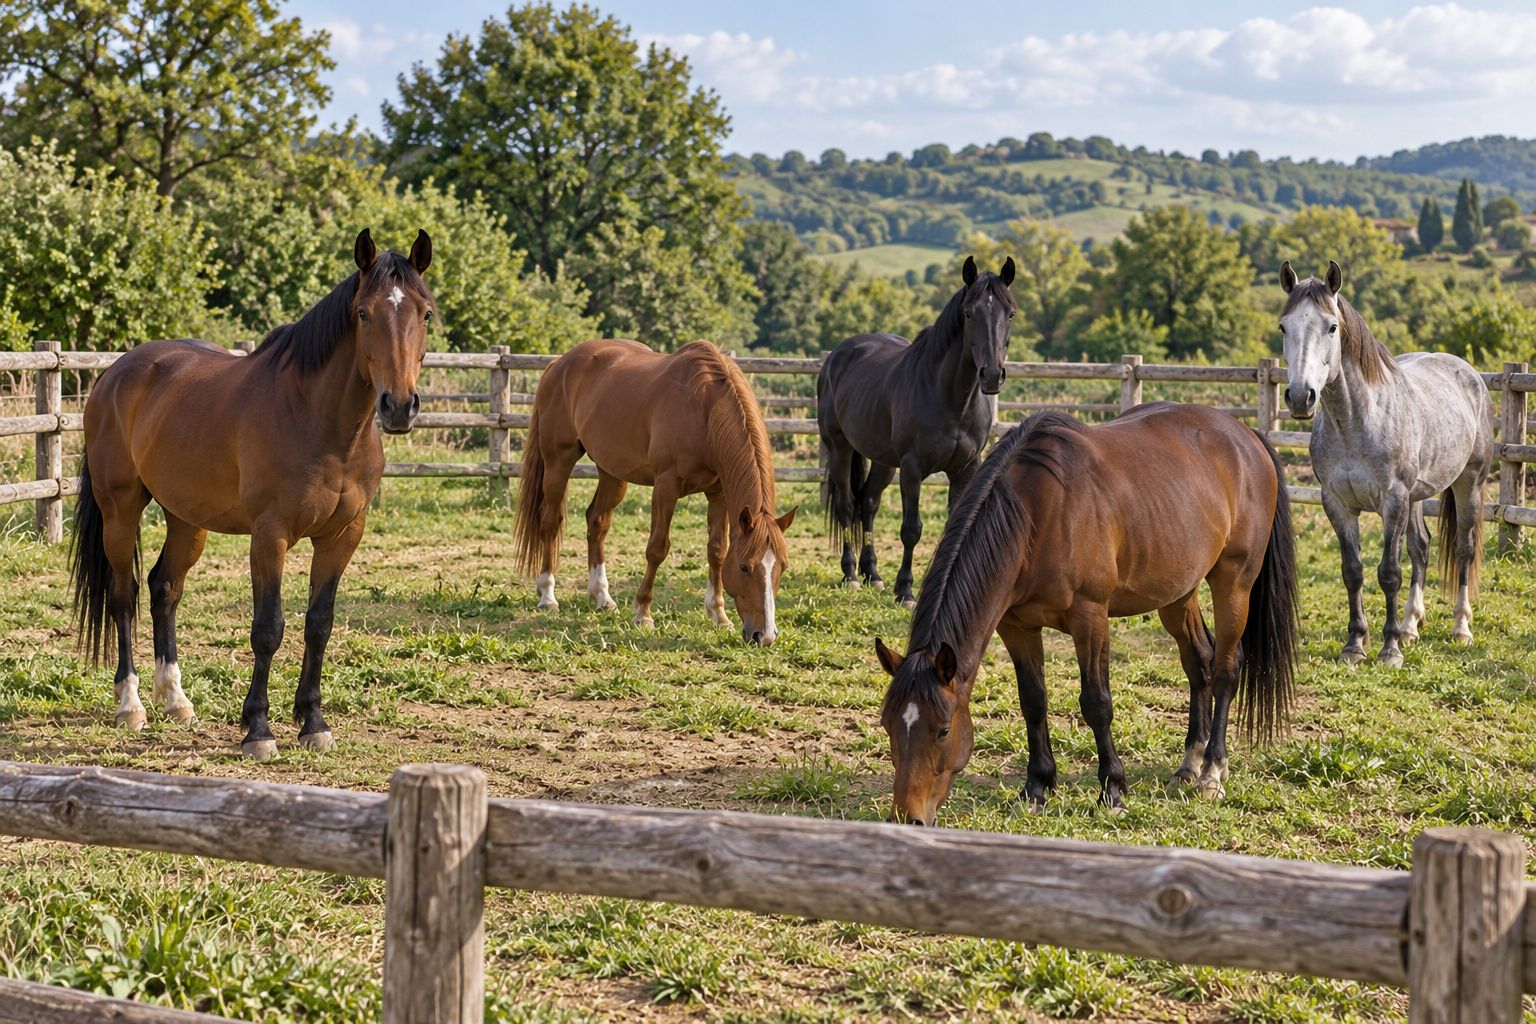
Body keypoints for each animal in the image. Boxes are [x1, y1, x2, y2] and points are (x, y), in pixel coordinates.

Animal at [70, 229, 434, 760]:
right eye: (364, 313)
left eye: (425, 313)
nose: (400, 406)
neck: (319, 421)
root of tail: (115, 374)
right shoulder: (269, 536)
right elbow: (268, 629)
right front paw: (258, 730)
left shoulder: (343, 536)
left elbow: (319, 624)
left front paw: (313, 722)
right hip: (120, 509)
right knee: (123, 595)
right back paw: (130, 705)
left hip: (187, 518)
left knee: (165, 588)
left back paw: (175, 698)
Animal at [513, 339, 796, 644]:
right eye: (744, 567)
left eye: (782, 566)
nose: (764, 635)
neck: (705, 411)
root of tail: (559, 363)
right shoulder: (665, 487)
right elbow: (657, 548)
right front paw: (643, 613)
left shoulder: (719, 493)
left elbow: (717, 550)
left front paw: (719, 614)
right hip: (558, 462)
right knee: (550, 522)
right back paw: (547, 594)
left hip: (612, 473)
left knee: (596, 522)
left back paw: (602, 596)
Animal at [817, 256, 1015, 608]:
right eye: (969, 313)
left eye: (1010, 313)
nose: (992, 375)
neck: (951, 398)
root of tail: (836, 356)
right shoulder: (911, 468)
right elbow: (911, 528)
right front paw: (906, 591)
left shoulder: (966, 469)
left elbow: (954, 525)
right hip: (840, 448)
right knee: (846, 506)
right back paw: (851, 574)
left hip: (883, 460)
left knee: (868, 503)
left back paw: (873, 574)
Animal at [874, 403, 1298, 824]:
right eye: (887, 724)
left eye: (944, 730)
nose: (907, 817)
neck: (1035, 513)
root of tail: (1245, 435)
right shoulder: (1016, 626)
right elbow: (1033, 702)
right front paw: (1037, 787)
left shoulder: (1090, 619)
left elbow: (1096, 703)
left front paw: (1113, 789)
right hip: (1178, 593)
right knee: (1200, 663)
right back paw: (1189, 764)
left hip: (1234, 583)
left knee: (1226, 667)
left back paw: (1211, 771)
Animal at [1279, 261, 1494, 667]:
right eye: (1284, 327)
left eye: (1332, 327)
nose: (1300, 397)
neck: (1357, 422)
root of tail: (1468, 373)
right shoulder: (1337, 503)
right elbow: (1353, 571)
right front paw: (1355, 645)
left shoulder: (1392, 501)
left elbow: (1389, 572)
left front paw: (1389, 649)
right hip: (1415, 497)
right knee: (1421, 548)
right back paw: (1411, 625)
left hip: (1468, 484)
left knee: (1463, 549)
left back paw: (1460, 628)